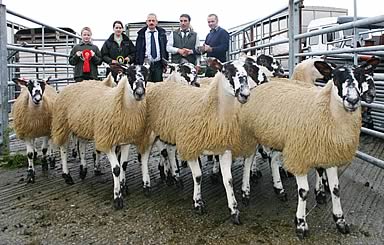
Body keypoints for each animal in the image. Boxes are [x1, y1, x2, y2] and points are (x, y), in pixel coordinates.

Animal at [51, 64, 151, 209]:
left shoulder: (125, 140)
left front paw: (124, 187)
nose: (139, 93)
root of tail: (73, 84)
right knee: (64, 148)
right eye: (129, 74)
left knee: (82, 145)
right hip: (63, 123)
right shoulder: (107, 140)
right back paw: (67, 176)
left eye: (147, 74)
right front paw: (117, 198)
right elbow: (116, 169)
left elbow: (123, 165)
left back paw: (83, 170)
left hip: (82, 125)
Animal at [141, 58, 252, 224]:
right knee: (144, 156)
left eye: (246, 72)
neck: (209, 108)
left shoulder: (223, 148)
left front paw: (234, 210)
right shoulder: (191, 146)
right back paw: (147, 184)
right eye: (226, 71)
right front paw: (198, 203)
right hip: (150, 132)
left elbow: (228, 180)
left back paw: (176, 178)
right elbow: (198, 176)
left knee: (170, 151)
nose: (245, 94)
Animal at [236, 57, 380, 237]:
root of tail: (262, 84)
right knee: (249, 161)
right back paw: (246, 191)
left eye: (360, 75)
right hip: (252, 134)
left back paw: (279, 189)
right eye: (335, 77)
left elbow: (336, 189)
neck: (324, 109)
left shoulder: (328, 154)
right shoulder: (300, 155)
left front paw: (340, 220)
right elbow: (304, 191)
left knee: (273, 160)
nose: (353, 100)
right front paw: (301, 223)